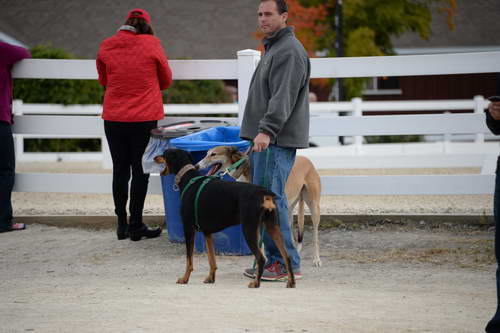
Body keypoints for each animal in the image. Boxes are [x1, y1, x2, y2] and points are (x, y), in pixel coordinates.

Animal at [152, 148, 292, 288]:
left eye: (164, 153)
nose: (154, 157)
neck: (188, 178)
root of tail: (264, 193)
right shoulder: (207, 233)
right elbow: (211, 259)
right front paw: (210, 278)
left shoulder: (188, 228)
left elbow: (189, 259)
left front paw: (184, 278)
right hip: (273, 226)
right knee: (286, 255)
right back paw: (291, 282)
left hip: (249, 229)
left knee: (261, 258)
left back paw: (256, 283)